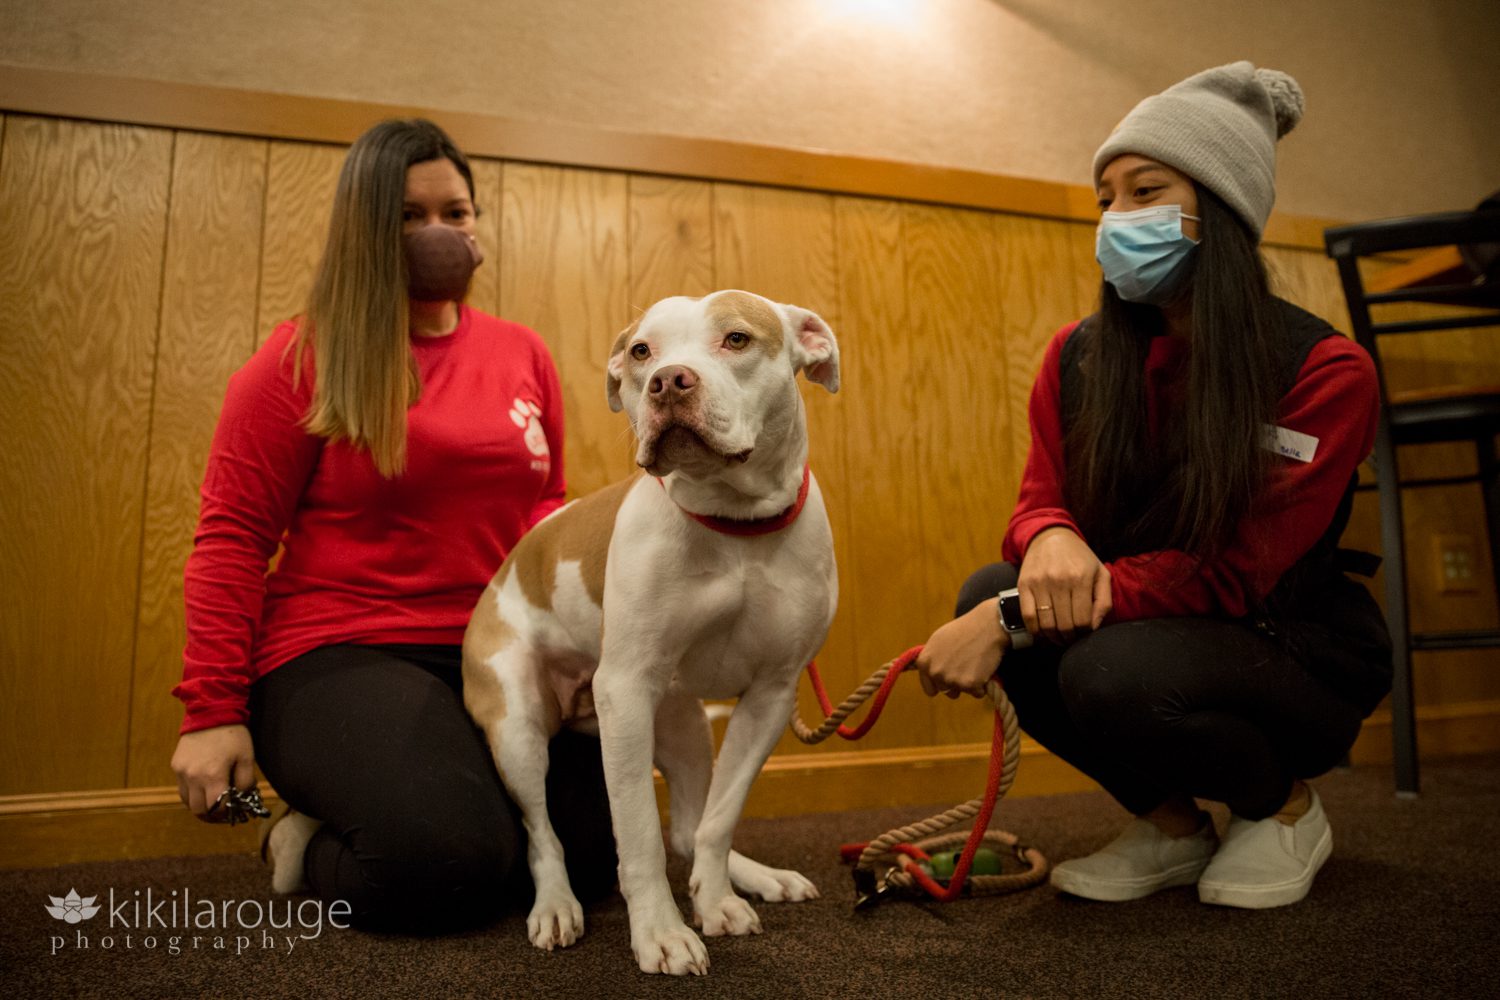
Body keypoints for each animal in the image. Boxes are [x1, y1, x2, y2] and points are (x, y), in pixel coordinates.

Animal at [462, 289, 840, 977]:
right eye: (641, 351)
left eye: (737, 339)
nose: (669, 380)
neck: (734, 523)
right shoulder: (626, 691)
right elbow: (636, 832)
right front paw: (662, 933)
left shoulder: (771, 695)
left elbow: (719, 818)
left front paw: (716, 901)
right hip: (519, 728)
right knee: (541, 835)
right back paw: (555, 906)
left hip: (683, 725)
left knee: (691, 825)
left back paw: (758, 877)